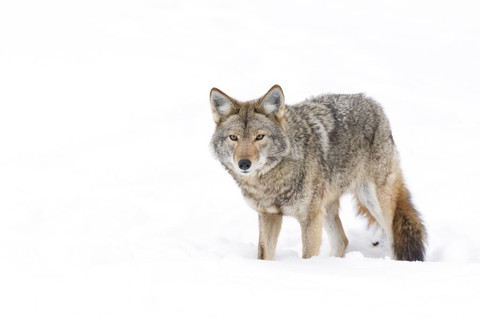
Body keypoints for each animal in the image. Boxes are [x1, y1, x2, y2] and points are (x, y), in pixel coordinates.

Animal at [208, 84, 426, 260]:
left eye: (259, 137)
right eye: (233, 137)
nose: (244, 164)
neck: (271, 182)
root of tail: (373, 103)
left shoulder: (310, 218)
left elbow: (308, 256)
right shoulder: (268, 215)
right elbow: (264, 255)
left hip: (373, 201)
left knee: (393, 238)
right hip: (327, 207)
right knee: (342, 240)